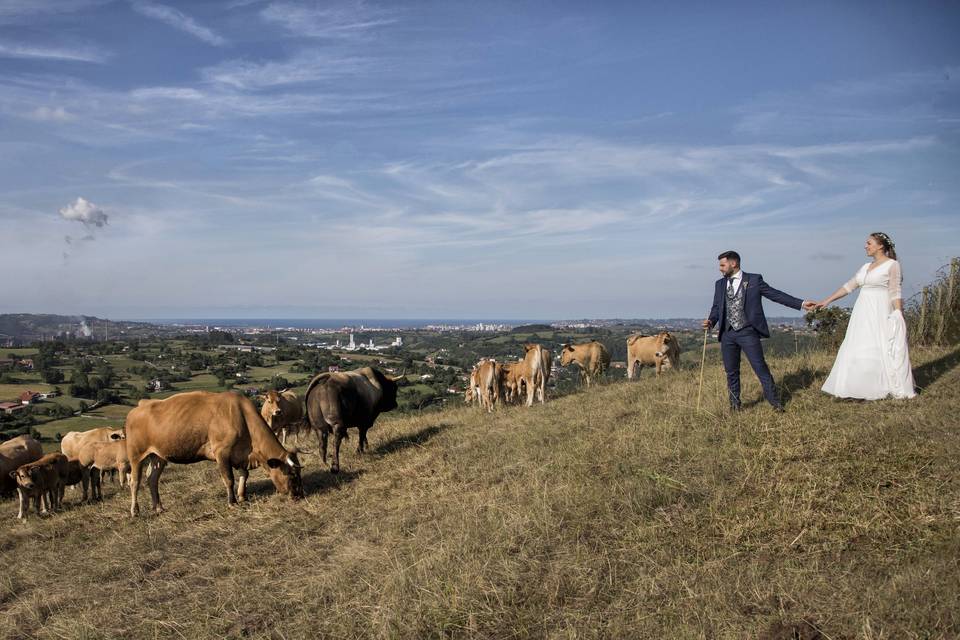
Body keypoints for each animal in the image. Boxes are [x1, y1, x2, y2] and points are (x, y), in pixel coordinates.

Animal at [124, 388, 304, 516]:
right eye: (291, 475)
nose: (299, 496)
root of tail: (139, 407)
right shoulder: (221, 452)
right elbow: (229, 479)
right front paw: (232, 502)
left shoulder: (241, 454)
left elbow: (244, 475)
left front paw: (242, 496)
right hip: (136, 455)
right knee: (134, 481)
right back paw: (135, 511)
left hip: (158, 455)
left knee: (152, 479)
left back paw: (158, 507)